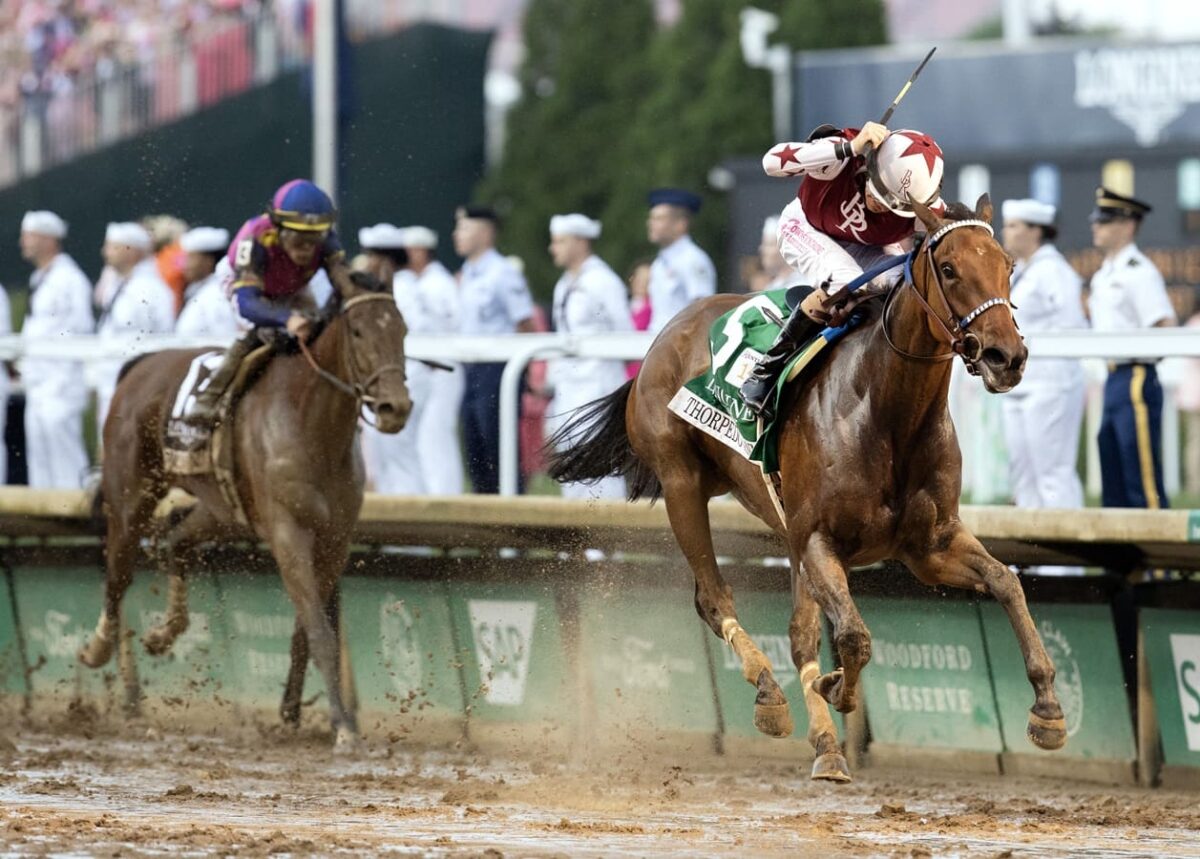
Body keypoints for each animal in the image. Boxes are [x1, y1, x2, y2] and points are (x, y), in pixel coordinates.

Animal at [78, 274, 412, 753]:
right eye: (358, 331)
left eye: (402, 330)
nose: (395, 408)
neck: (313, 423)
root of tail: (142, 365)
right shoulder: (288, 534)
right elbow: (320, 632)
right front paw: (344, 727)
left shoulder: (335, 539)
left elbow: (306, 632)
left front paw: (293, 713)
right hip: (130, 498)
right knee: (119, 571)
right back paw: (99, 647)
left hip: (221, 511)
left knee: (175, 535)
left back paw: (165, 632)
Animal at [549, 196, 1065, 787]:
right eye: (951, 268)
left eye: (1008, 264)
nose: (1007, 357)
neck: (885, 410)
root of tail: (667, 333)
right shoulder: (821, 538)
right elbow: (855, 637)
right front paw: (837, 687)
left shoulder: (929, 546)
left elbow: (1007, 583)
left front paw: (1048, 709)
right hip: (683, 483)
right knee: (713, 597)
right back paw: (770, 695)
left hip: (778, 524)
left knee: (797, 635)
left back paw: (826, 746)